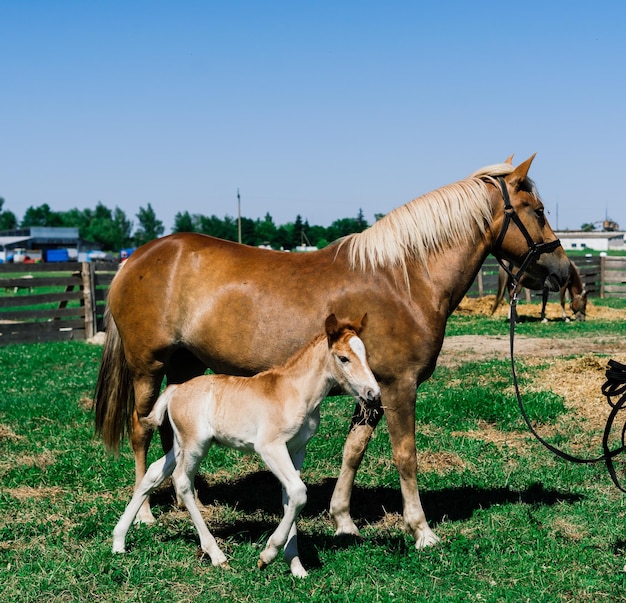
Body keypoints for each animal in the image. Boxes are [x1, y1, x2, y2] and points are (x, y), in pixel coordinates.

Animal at [94, 153, 572, 548]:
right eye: (539, 211)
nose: (563, 271)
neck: (404, 279)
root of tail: (137, 257)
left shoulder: (372, 390)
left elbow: (353, 451)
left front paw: (343, 520)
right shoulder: (399, 387)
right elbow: (405, 455)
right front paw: (421, 530)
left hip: (185, 367)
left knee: (169, 435)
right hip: (147, 366)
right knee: (140, 430)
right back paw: (146, 514)